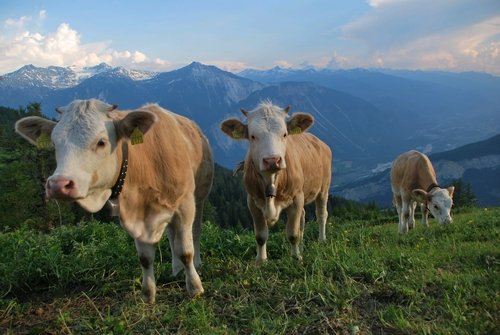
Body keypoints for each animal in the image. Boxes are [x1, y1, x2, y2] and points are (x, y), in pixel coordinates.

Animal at [14, 98, 214, 304]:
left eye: (101, 142)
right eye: (54, 143)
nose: (58, 184)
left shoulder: (185, 206)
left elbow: (185, 251)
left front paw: (195, 288)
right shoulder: (136, 215)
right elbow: (145, 257)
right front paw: (148, 294)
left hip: (199, 196)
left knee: (195, 231)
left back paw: (196, 264)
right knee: (171, 233)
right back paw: (176, 270)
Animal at [220, 102, 332, 266]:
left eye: (284, 134)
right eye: (252, 136)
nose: (272, 160)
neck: (271, 180)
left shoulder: (296, 198)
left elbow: (292, 233)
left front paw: (295, 258)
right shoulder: (252, 201)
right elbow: (260, 235)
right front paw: (260, 261)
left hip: (324, 188)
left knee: (321, 214)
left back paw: (322, 240)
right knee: (303, 218)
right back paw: (303, 247)